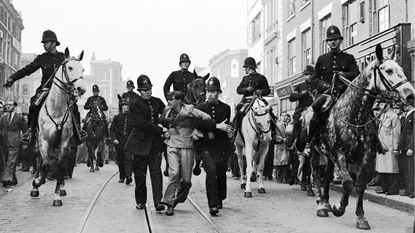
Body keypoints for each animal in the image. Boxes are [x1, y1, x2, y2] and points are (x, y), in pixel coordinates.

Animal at [30, 48, 87, 206]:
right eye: (70, 67)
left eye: (83, 69)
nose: (81, 89)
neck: (56, 110)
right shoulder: (44, 142)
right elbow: (45, 164)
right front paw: (38, 182)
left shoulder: (64, 143)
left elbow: (60, 165)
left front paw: (57, 194)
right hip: (38, 142)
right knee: (39, 159)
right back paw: (36, 186)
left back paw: (60, 186)